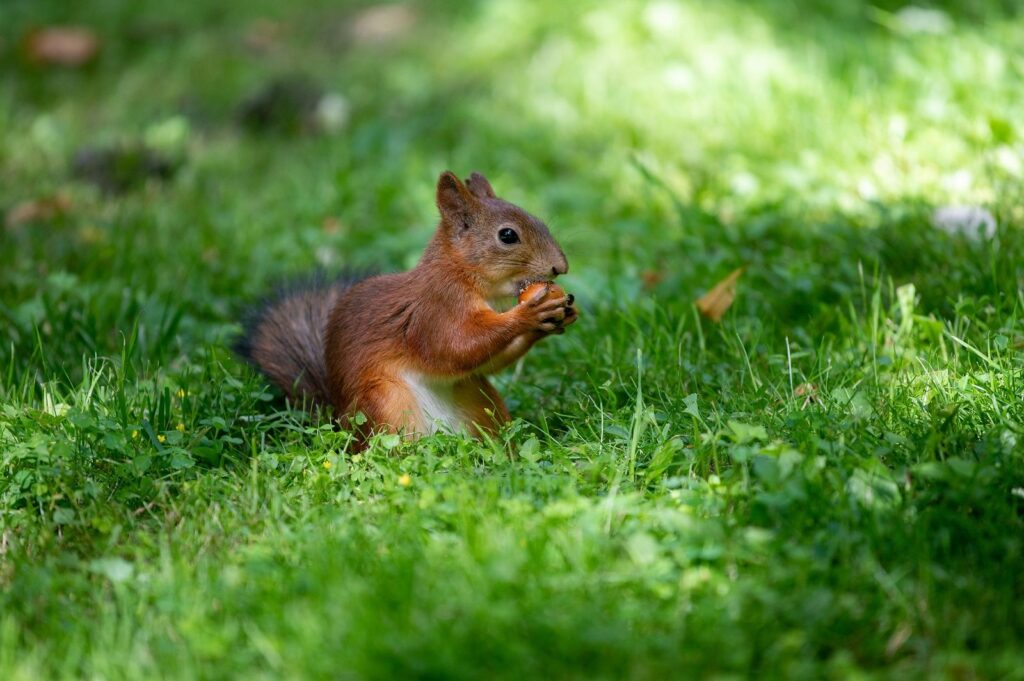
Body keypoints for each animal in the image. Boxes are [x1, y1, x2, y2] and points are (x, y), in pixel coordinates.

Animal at [234, 171, 577, 443]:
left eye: (540, 221)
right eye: (507, 235)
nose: (561, 267)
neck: (461, 275)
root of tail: (338, 424)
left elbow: (483, 363)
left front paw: (554, 320)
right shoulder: (433, 311)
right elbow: (454, 349)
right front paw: (528, 315)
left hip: (476, 396)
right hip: (386, 402)